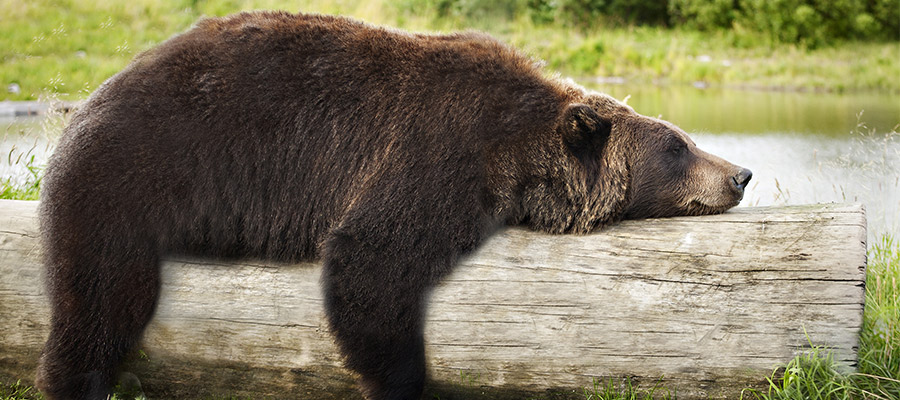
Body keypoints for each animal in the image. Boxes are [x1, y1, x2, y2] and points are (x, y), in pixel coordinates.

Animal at [35, 10, 752, 400]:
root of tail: (87, 103)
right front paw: (398, 377)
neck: (522, 150)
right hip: (131, 177)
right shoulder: (440, 148)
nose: (741, 173)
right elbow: (371, 259)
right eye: (679, 146)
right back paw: (74, 376)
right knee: (100, 299)